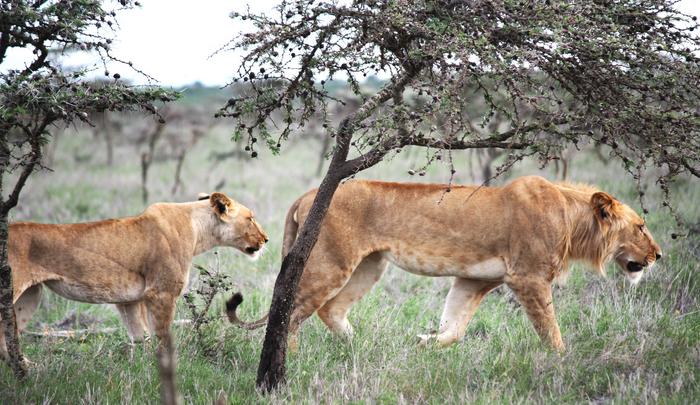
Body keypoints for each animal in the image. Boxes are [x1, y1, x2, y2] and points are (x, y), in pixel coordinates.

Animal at [1, 192, 268, 361]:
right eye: (250, 218)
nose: (266, 239)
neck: (198, 230)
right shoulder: (161, 293)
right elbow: (162, 338)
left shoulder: (130, 300)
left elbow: (141, 339)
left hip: (31, 296)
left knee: (7, 344)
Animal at [229, 176, 661, 352]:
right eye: (641, 226)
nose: (659, 255)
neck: (573, 221)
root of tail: (308, 194)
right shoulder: (529, 278)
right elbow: (550, 329)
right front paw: (562, 361)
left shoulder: (474, 281)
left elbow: (455, 327)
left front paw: (424, 343)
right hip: (331, 262)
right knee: (291, 312)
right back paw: (288, 365)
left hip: (370, 265)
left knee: (330, 310)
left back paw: (361, 345)